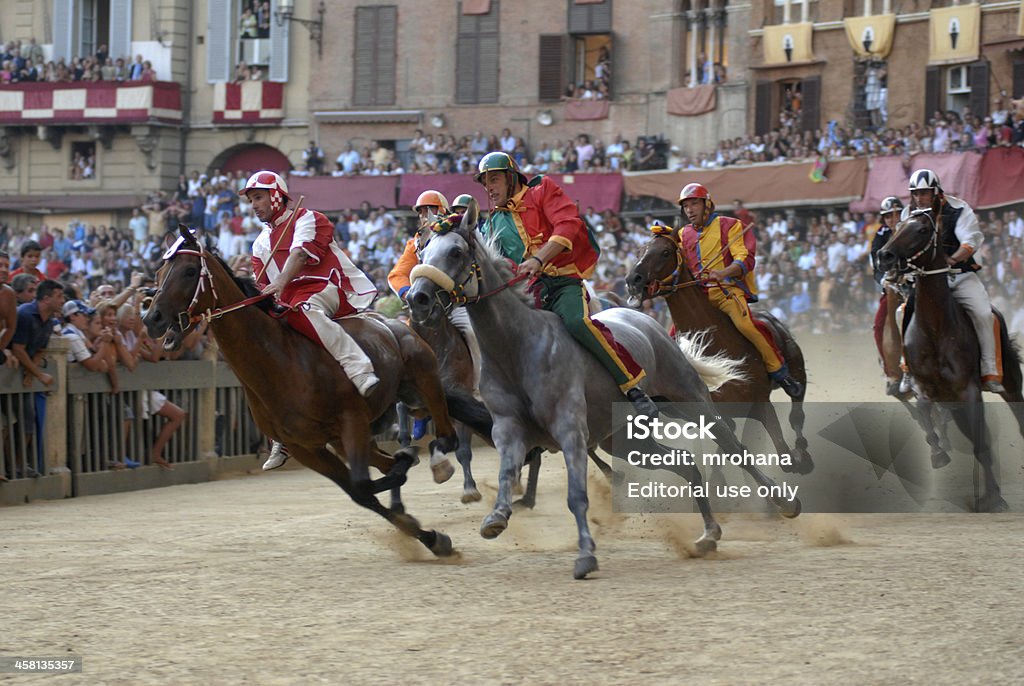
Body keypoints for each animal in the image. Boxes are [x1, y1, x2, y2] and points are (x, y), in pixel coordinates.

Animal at [143, 228, 491, 556]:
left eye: (189, 271)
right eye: (159, 273)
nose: (152, 318)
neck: (279, 361)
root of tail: (397, 324)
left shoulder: (351, 419)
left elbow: (365, 484)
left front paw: (409, 478)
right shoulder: (306, 447)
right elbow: (361, 492)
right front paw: (431, 538)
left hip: (423, 382)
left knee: (447, 436)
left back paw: (438, 464)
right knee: (394, 457)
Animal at [618, 233, 811, 475]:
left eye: (665, 252)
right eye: (640, 250)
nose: (632, 279)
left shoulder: (760, 403)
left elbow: (783, 454)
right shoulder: (712, 412)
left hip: (797, 370)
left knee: (797, 412)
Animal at [872, 206, 1024, 513]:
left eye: (922, 230)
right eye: (898, 227)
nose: (886, 256)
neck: (935, 327)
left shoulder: (969, 390)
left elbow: (980, 442)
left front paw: (994, 498)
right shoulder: (925, 388)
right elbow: (925, 415)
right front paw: (938, 454)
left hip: (1010, 383)